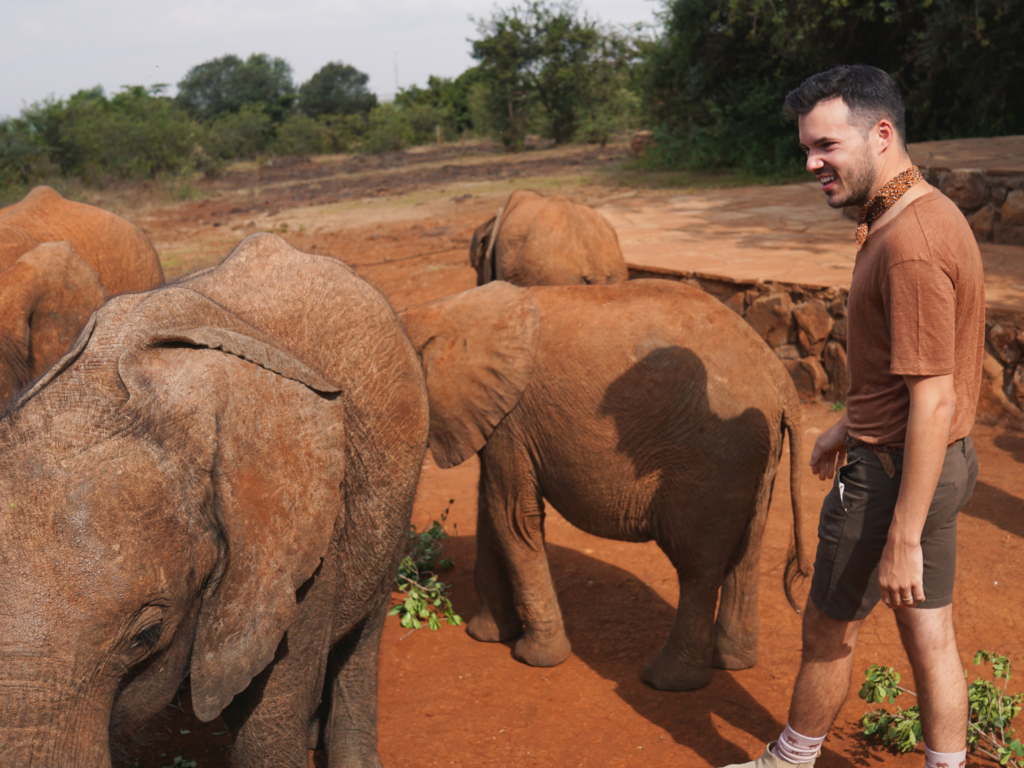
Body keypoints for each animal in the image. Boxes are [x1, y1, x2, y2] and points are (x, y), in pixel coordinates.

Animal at [403, 280, 811, 692]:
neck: (445, 311)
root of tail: (780, 378)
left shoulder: (511, 420)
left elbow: (513, 518)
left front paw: (534, 659)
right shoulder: (500, 421)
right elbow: (492, 511)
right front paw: (486, 636)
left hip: (713, 458)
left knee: (699, 566)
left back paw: (666, 681)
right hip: (756, 456)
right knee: (747, 553)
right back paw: (733, 663)